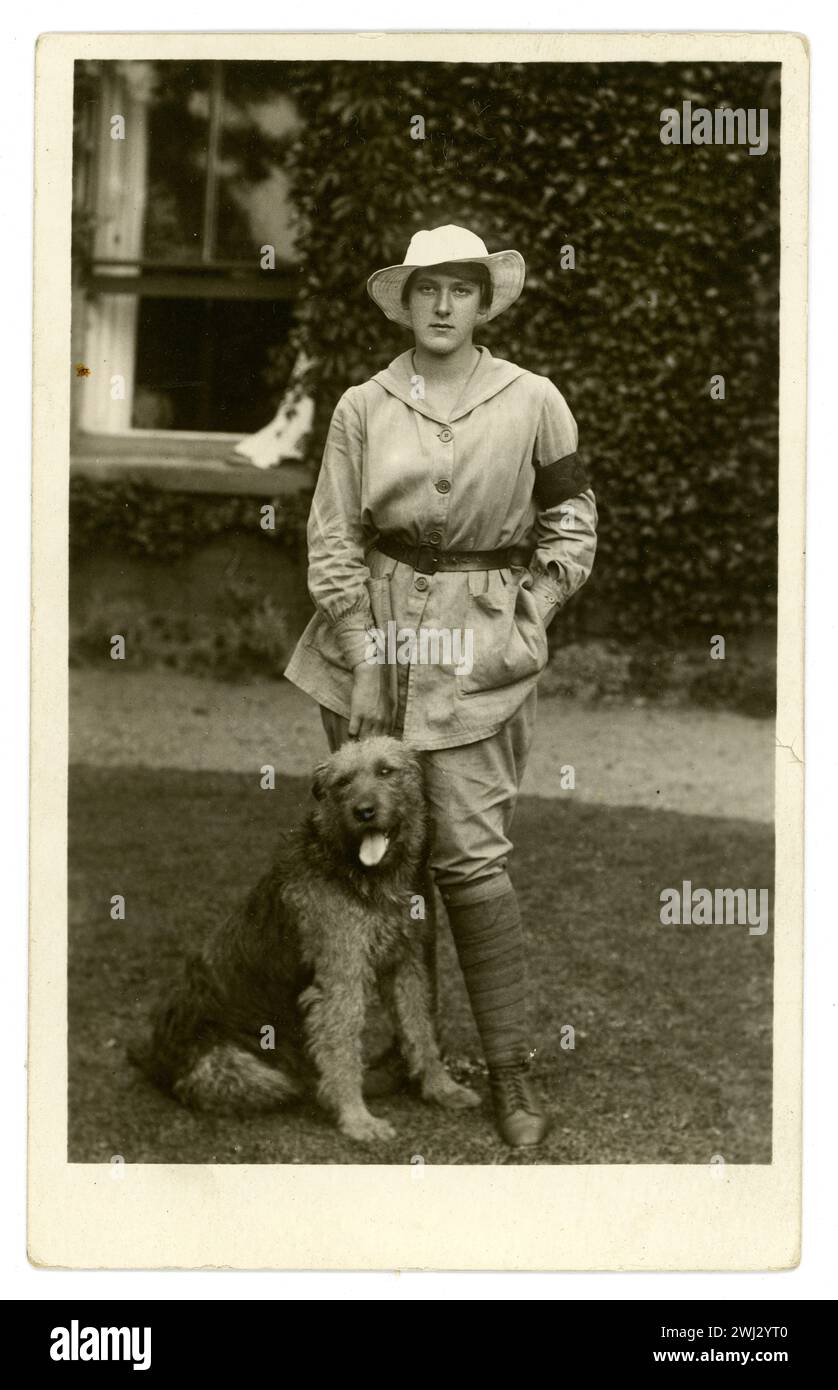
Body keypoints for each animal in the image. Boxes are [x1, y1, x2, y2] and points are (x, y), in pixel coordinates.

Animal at [135, 733, 480, 1145]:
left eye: (386, 771)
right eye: (342, 782)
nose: (364, 812)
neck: (361, 871)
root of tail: (154, 1058)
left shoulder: (406, 964)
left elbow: (420, 1030)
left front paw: (442, 1088)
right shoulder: (340, 980)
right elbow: (343, 1048)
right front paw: (357, 1118)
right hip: (248, 1072)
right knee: (287, 1083)